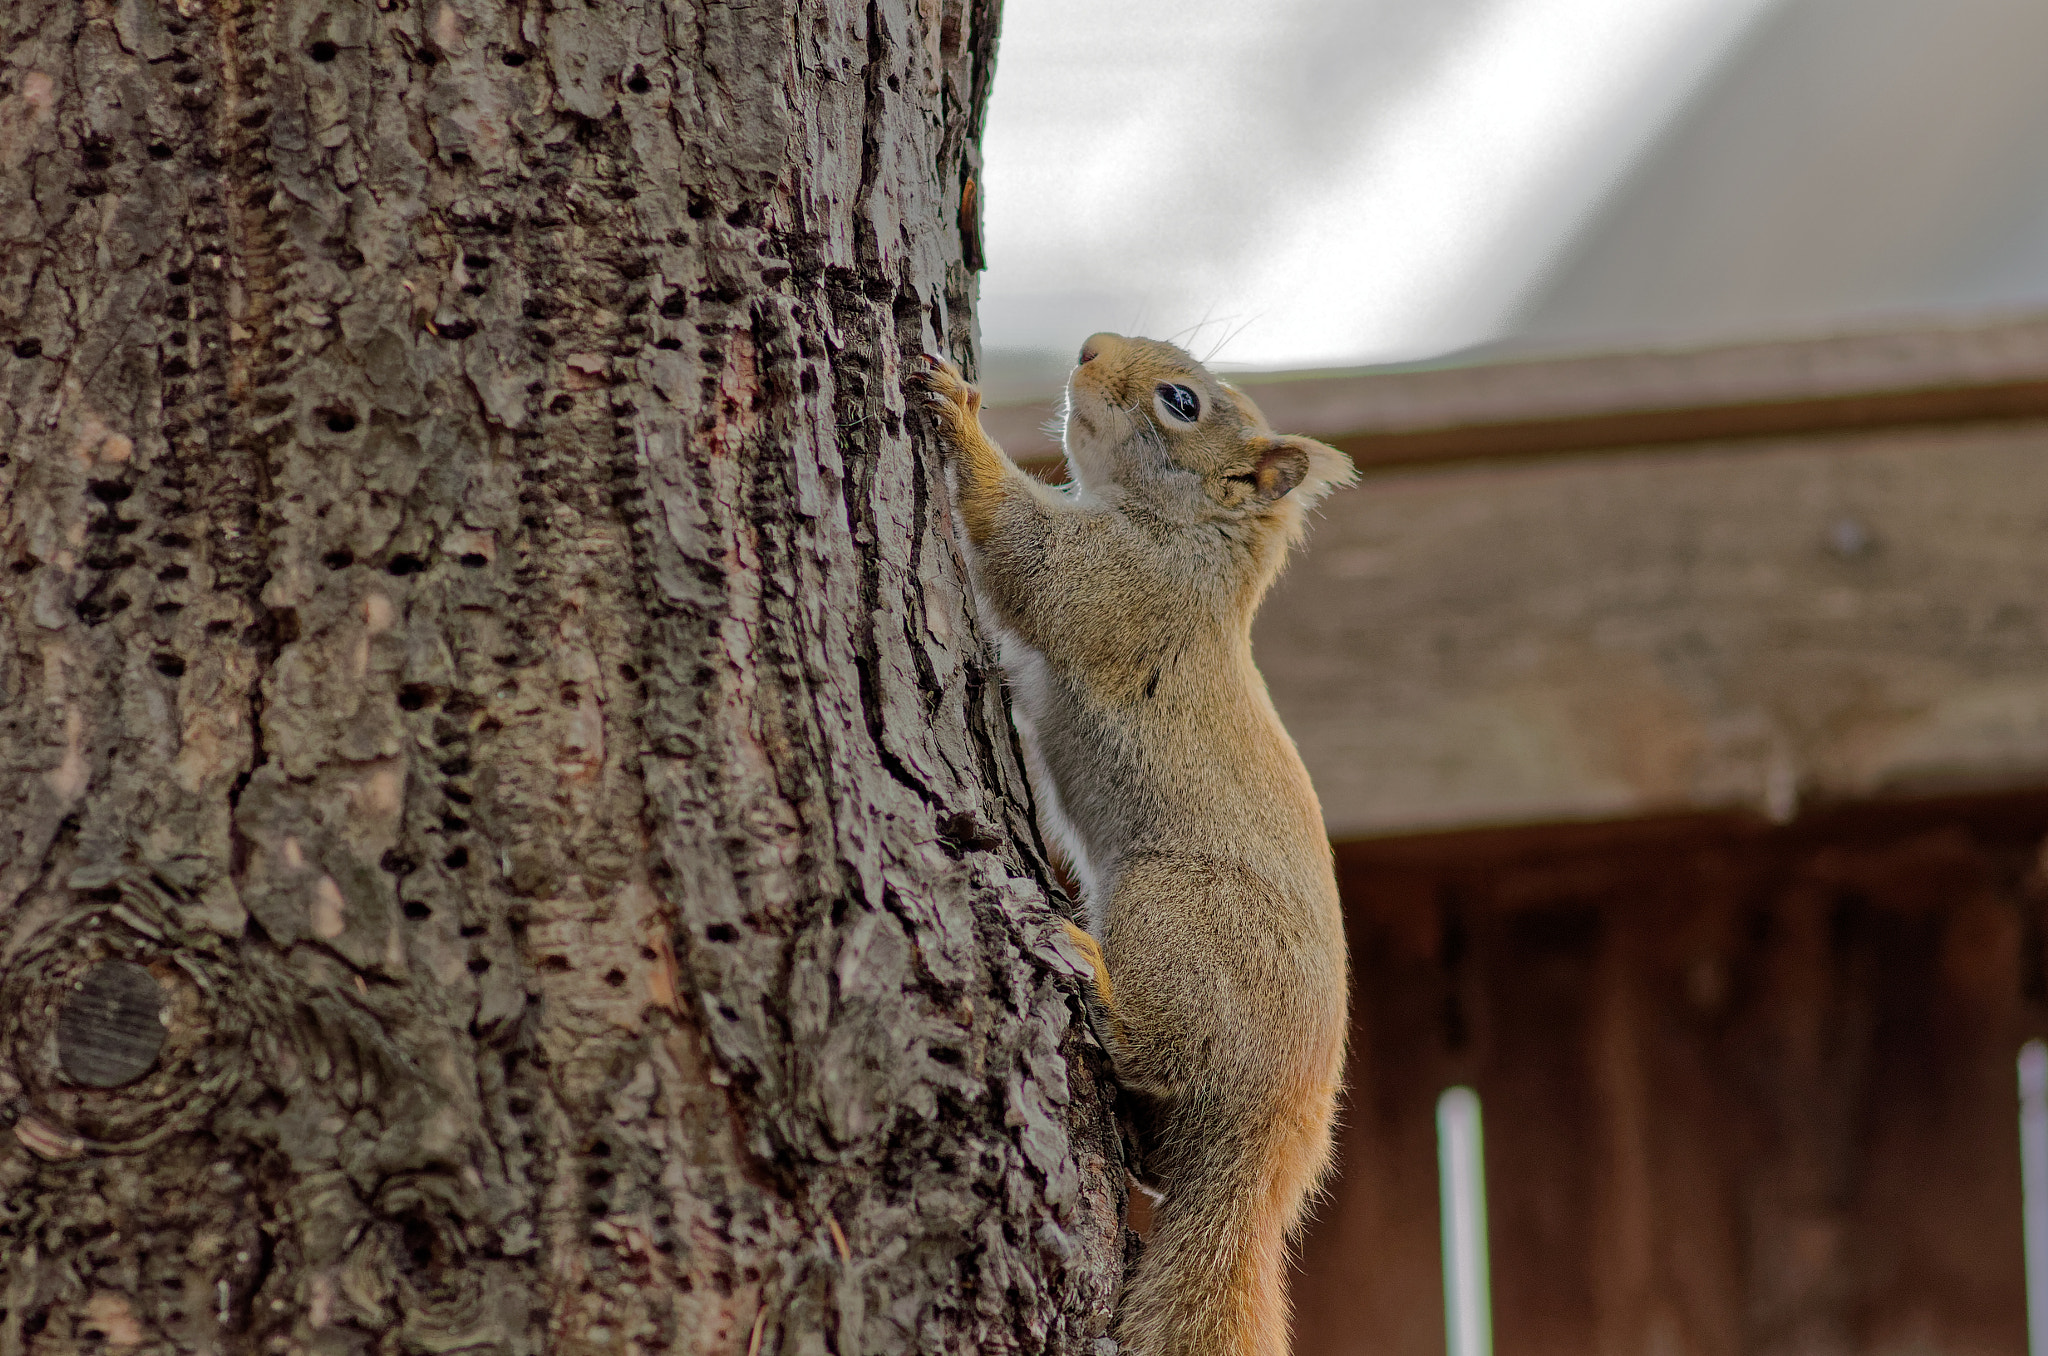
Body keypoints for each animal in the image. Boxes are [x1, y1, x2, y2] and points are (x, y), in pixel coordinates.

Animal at [921, 331, 1351, 1356]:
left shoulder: (1122, 586)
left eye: (1181, 402)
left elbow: (1031, 557)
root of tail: (1273, 1134)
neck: (1195, 545)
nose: (1088, 346)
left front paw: (959, 416)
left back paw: (1095, 977)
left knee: (1152, 1043)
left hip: (1172, 911)